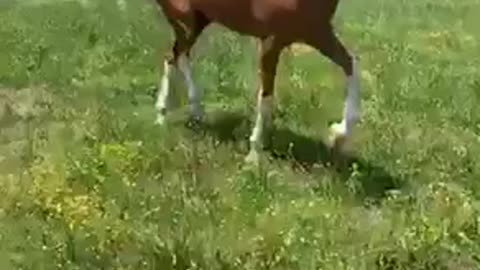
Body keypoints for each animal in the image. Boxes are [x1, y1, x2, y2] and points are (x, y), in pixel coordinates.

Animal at [154, 0, 360, 163]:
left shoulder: (318, 32)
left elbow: (350, 65)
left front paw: (339, 133)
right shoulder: (271, 41)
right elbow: (266, 96)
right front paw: (254, 152)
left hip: (198, 20)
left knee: (175, 58)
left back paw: (186, 111)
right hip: (185, 22)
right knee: (175, 57)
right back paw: (165, 115)